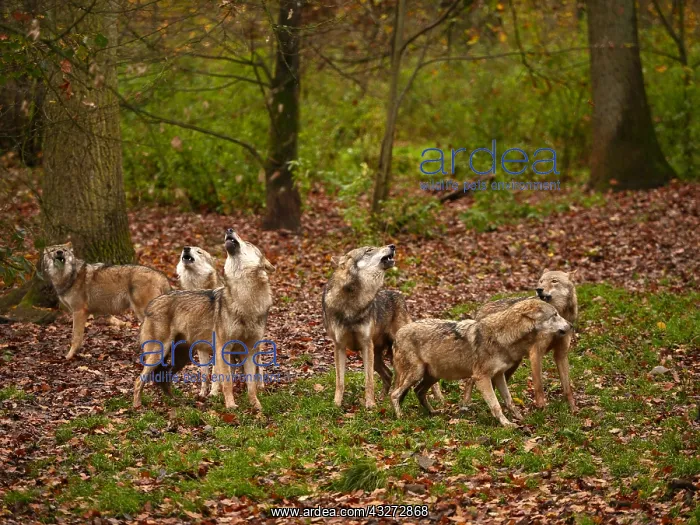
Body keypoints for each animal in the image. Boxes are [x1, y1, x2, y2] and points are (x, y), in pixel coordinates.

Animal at [42, 243, 171, 360]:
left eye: (64, 250)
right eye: (53, 250)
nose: (59, 252)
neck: (68, 277)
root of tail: (161, 276)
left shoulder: (79, 312)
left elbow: (75, 337)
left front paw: (69, 356)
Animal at [176, 245, 223, 397]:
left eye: (199, 251)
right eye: (186, 248)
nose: (186, 248)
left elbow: (215, 373)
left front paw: (213, 394)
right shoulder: (201, 347)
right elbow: (204, 374)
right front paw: (202, 394)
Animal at [322, 245, 442, 409]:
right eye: (368, 250)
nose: (392, 246)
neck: (352, 302)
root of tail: (398, 294)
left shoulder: (366, 345)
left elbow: (369, 381)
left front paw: (370, 405)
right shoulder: (340, 346)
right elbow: (339, 381)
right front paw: (336, 404)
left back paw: (439, 398)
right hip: (378, 358)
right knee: (389, 375)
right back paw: (383, 399)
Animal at [390, 299, 572, 427]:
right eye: (555, 315)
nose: (570, 325)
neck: (502, 338)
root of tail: (398, 334)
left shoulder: (499, 375)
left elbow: (508, 400)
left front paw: (519, 417)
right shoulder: (481, 378)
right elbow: (496, 405)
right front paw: (507, 424)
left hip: (433, 375)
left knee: (418, 391)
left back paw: (433, 413)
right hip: (416, 374)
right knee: (395, 394)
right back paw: (400, 417)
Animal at [462, 269, 578, 410]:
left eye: (554, 281)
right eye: (541, 281)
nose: (539, 289)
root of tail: (480, 309)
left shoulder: (561, 354)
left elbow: (567, 387)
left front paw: (573, 409)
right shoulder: (536, 354)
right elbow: (539, 388)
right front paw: (542, 409)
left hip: (511, 363)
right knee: (470, 379)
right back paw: (466, 404)